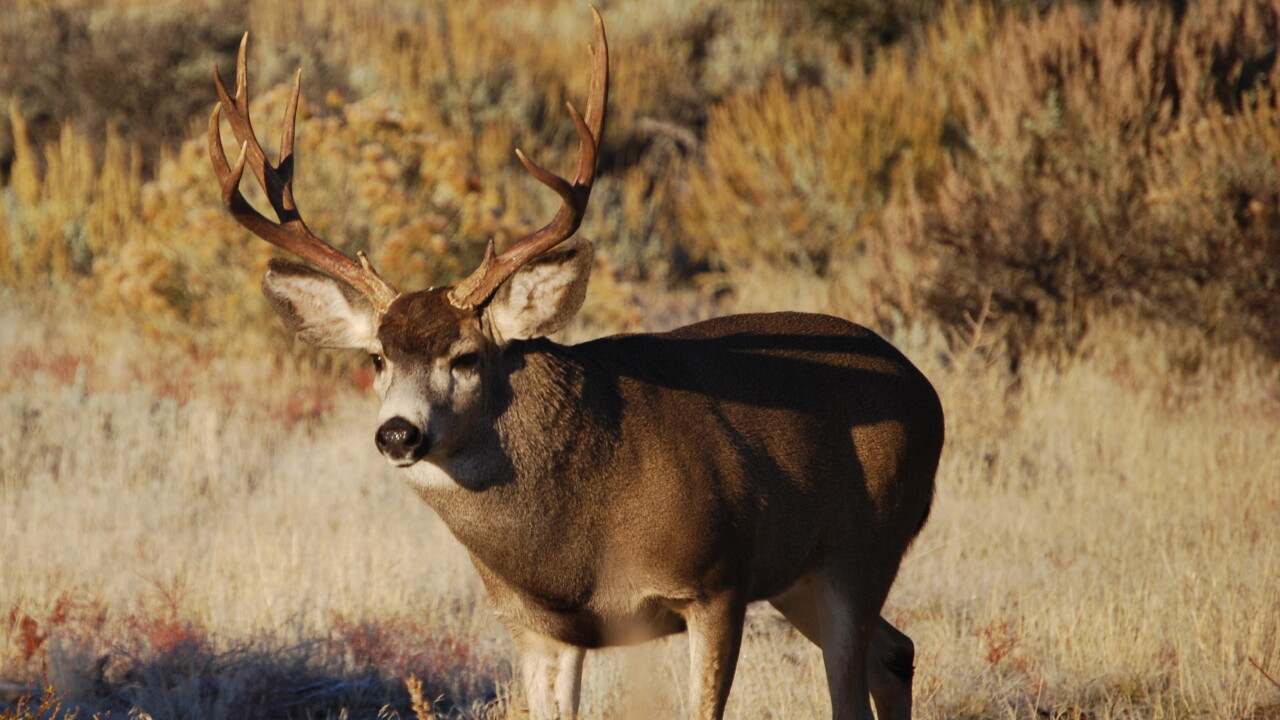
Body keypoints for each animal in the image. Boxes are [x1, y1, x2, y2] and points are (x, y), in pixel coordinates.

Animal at [208, 10, 942, 720]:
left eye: (466, 356)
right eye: (377, 357)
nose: (397, 432)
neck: (572, 551)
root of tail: (924, 389)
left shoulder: (717, 581)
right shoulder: (534, 624)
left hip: (864, 544)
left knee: (853, 687)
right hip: (803, 576)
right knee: (895, 651)